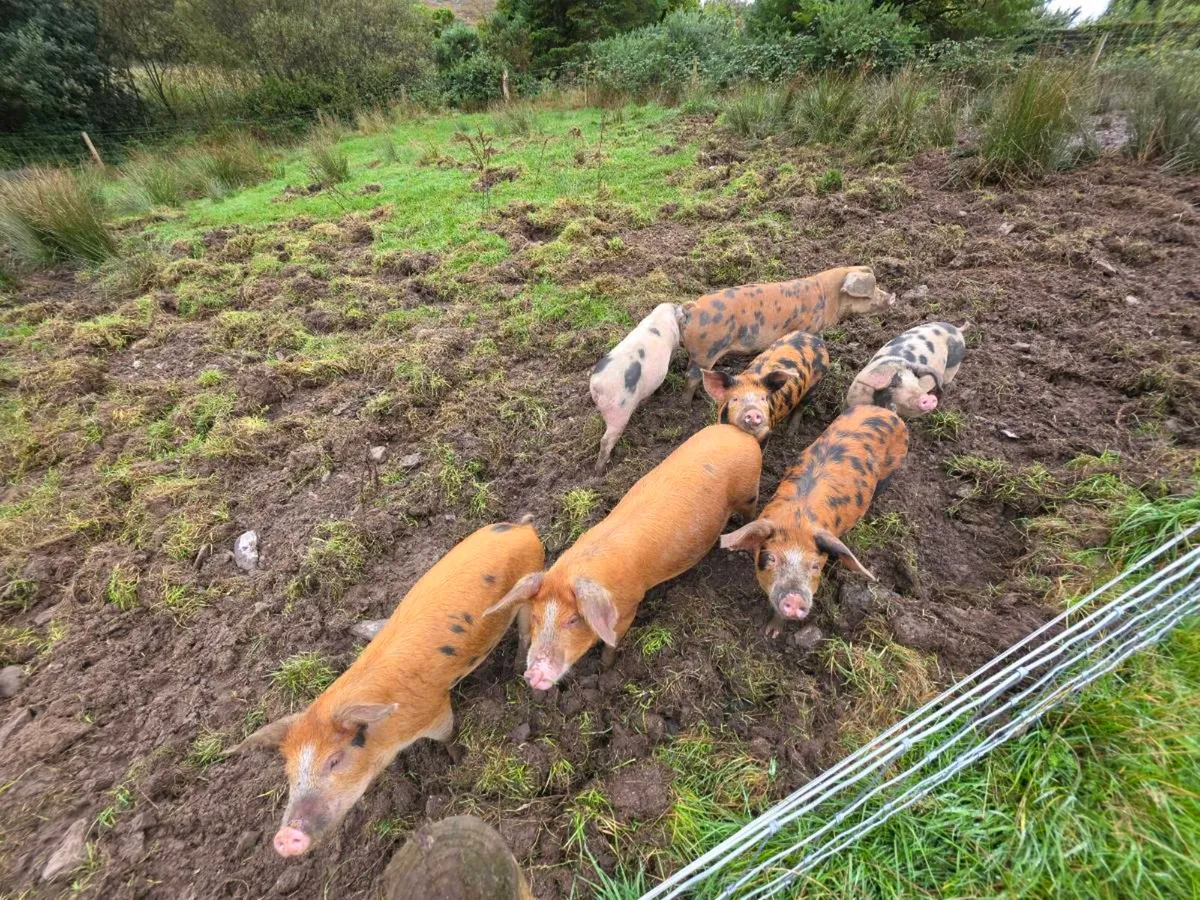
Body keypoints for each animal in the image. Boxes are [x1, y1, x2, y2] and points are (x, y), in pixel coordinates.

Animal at [232, 517, 544, 857]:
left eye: (334, 760)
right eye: (288, 773)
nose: (285, 836)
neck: (387, 733)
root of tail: (522, 528)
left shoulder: (434, 710)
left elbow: (448, 735)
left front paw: (457, 761)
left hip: (530, 585)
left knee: (525, 632)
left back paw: (516, 668)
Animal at [485, 424, 762, 689]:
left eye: (573, 620)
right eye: (535, 617)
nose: (533, 674)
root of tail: (740, 434)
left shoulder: (628, 607)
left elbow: (612, 642)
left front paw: (605, 670)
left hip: (749, 494)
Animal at [679, 265, 895, 403]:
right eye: (871, 291)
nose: (892, 298)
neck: (827, 299)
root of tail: (693, 309)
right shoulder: (810, 327)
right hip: (706, 352)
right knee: (690, 377)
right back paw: (687, 405)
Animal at [720, 406, 908, 639]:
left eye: (816, 566)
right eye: (772, 558)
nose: (794, 598)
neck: (797, 519)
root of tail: (887, 412)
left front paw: (773, 634)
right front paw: (769, 633)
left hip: (892, 468)